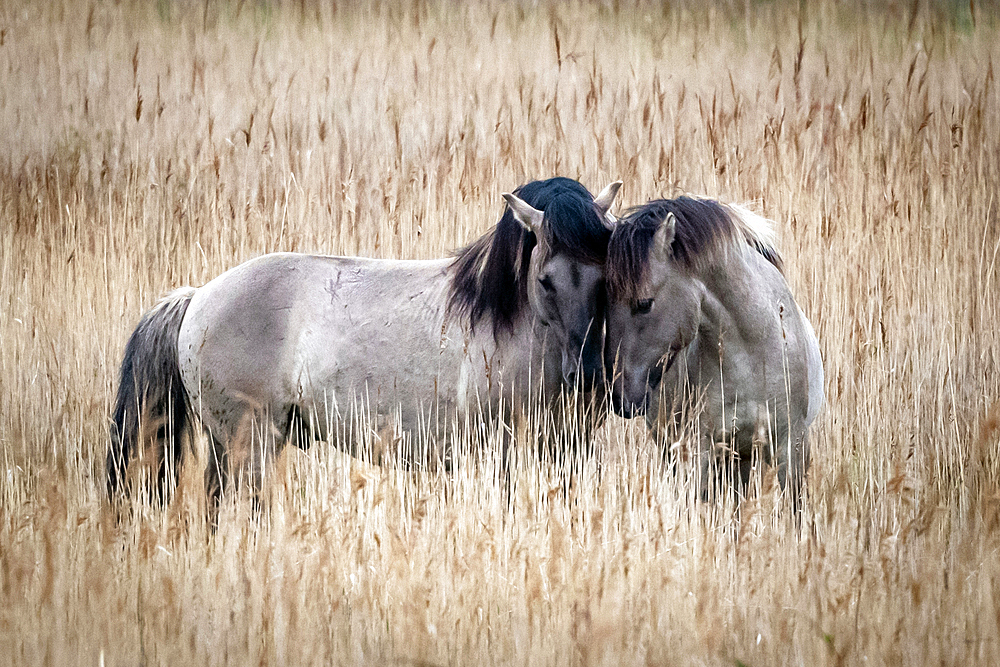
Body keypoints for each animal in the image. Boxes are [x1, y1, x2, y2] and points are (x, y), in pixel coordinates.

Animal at [113, 177, 620, 512]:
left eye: (604, 276)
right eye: (545, 280)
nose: (588, 374)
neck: (505, 320)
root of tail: (197, 296)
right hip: (250, 445)